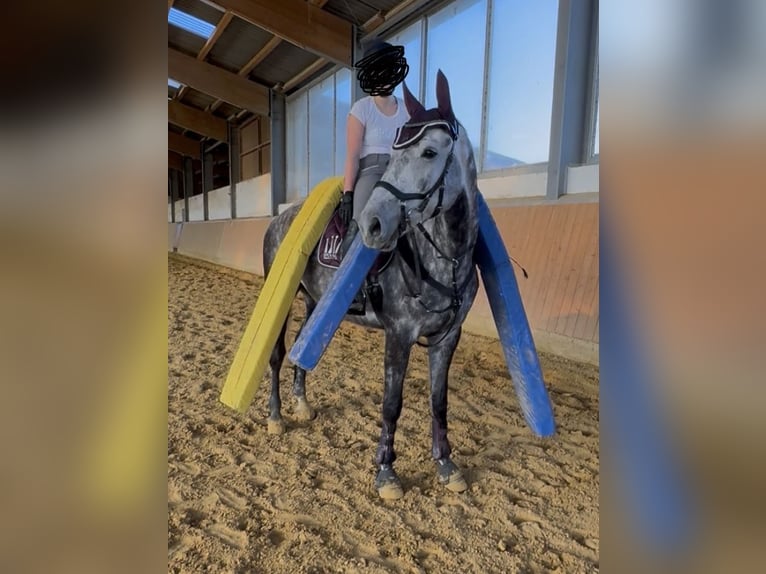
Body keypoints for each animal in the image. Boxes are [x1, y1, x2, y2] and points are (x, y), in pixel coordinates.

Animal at [263, 71, 480, 499]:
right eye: (394, 156)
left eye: (430, 152)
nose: (373, 224)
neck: (443, 257)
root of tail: (279, 219)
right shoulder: (399, 334)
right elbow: (392, 404)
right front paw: (386, 472)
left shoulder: (448, 337)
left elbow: (439, 402)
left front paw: (447, 466)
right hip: (283, 299)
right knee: (278, 354)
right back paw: (277, 416)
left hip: (314, 303)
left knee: (299, 347)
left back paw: (302, 406)